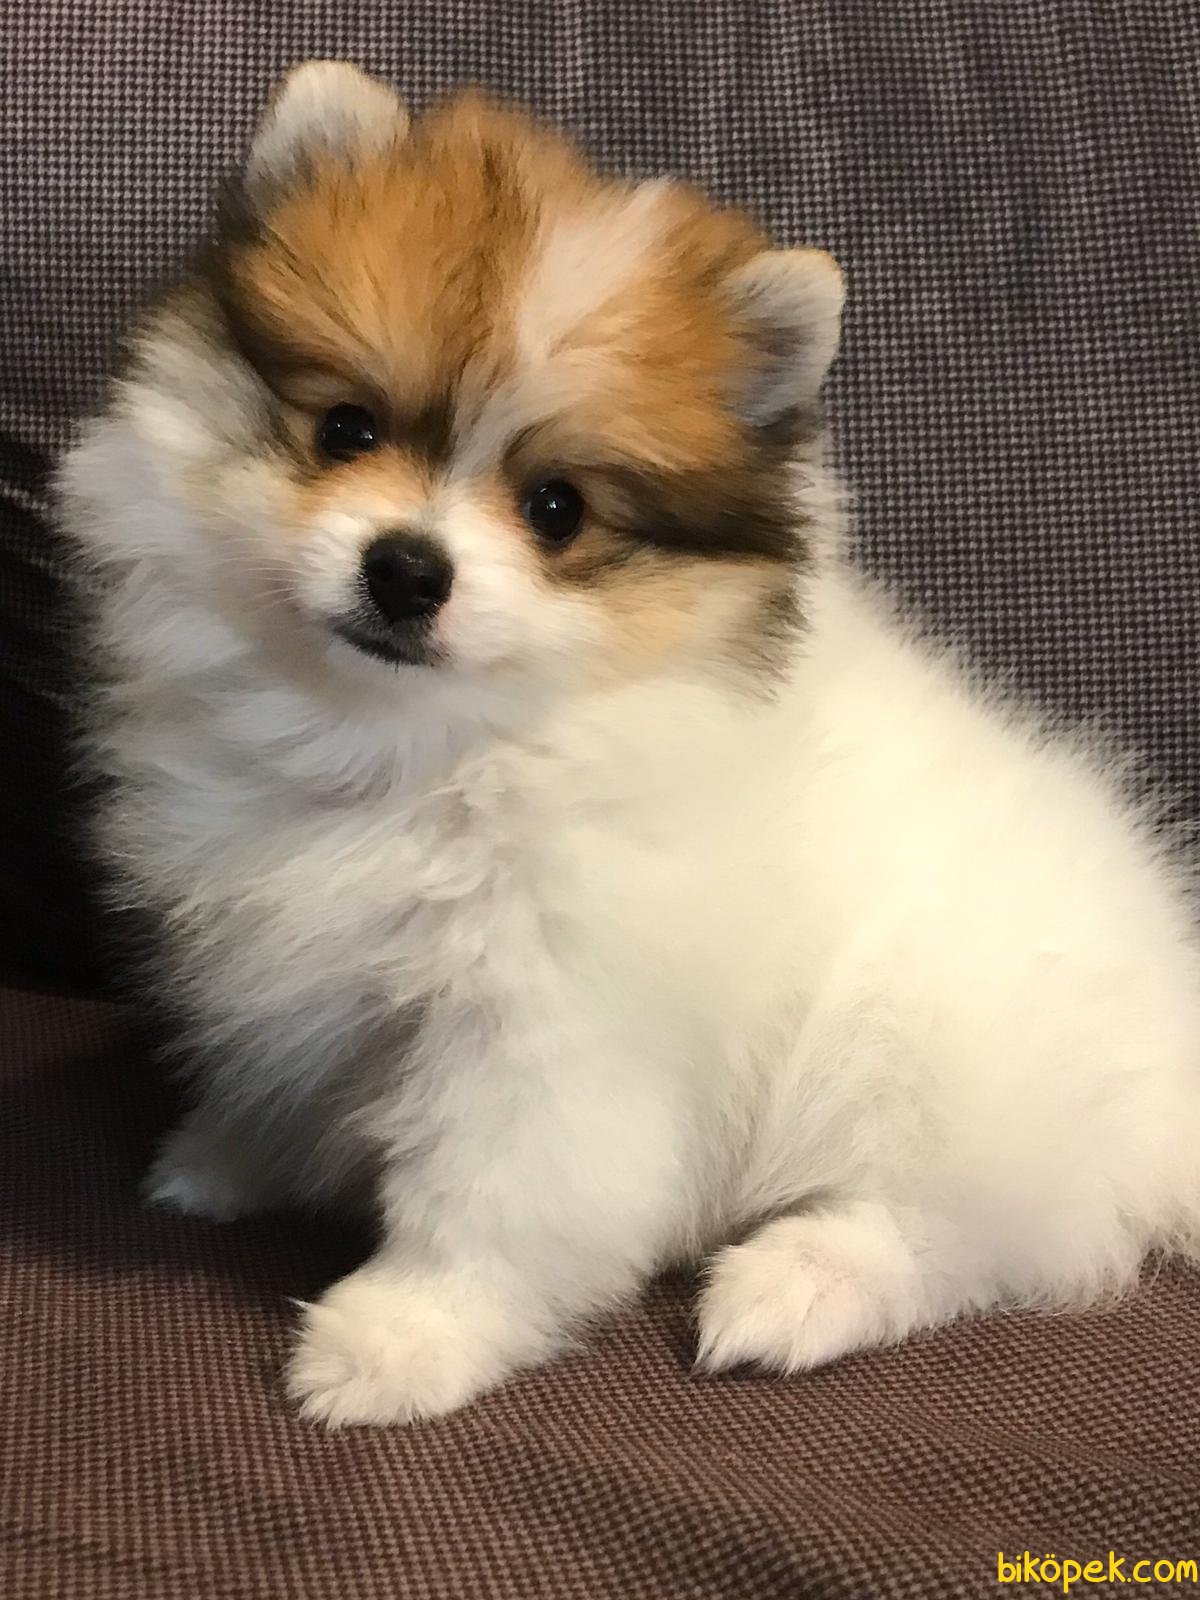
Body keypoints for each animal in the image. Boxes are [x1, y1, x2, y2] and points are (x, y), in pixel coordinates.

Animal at [59, 60, 1200, 1426]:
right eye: (346, 429)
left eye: (557, 509)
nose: (407, 568)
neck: (419, 750)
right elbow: (284, 1072)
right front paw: (233, 1155)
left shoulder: (549, 1025)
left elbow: (489, 1198)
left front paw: (402, 1335)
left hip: (940, 1040)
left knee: (978, 1227)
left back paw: (797, 1283)